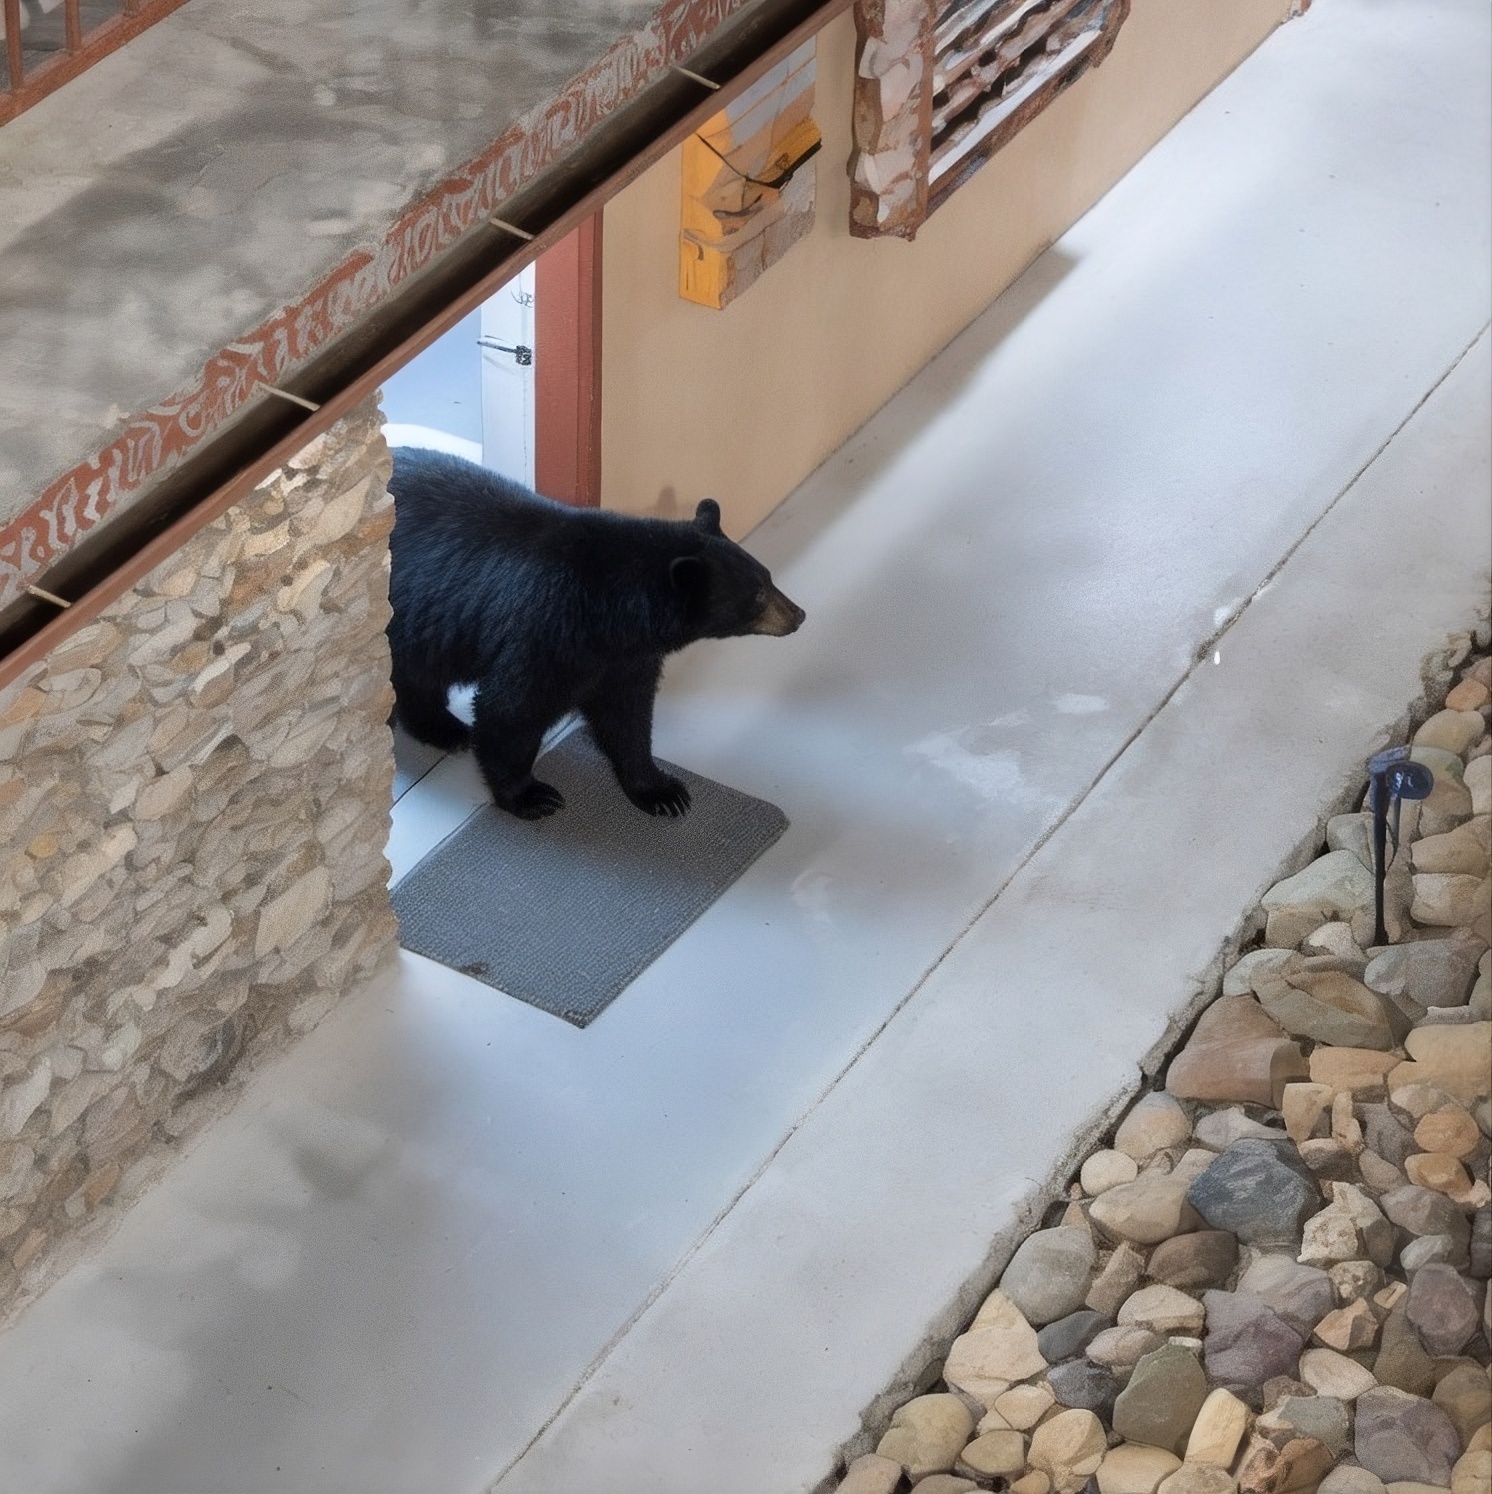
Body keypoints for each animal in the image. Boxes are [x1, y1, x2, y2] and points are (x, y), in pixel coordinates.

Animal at [386, 448, 805, 820]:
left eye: (767, 577)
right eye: (757, 595)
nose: (798, 615)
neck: (611, 616)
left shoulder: (625, 658)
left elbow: (628, 714)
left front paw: (661, 791)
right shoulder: (545, 632)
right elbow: (511, 709)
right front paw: (531, 796)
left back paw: (443, 729)